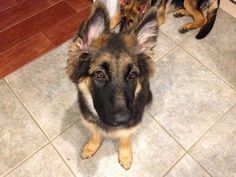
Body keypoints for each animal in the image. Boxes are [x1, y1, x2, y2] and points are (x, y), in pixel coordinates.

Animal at [66, 0, 159, 170]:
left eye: (132, 75)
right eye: (100, 74)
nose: (122, 120)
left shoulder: (131, 126)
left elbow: (125, 140)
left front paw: (125, 156)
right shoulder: (90, 121)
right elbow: (95, 134)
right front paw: (91, 147)